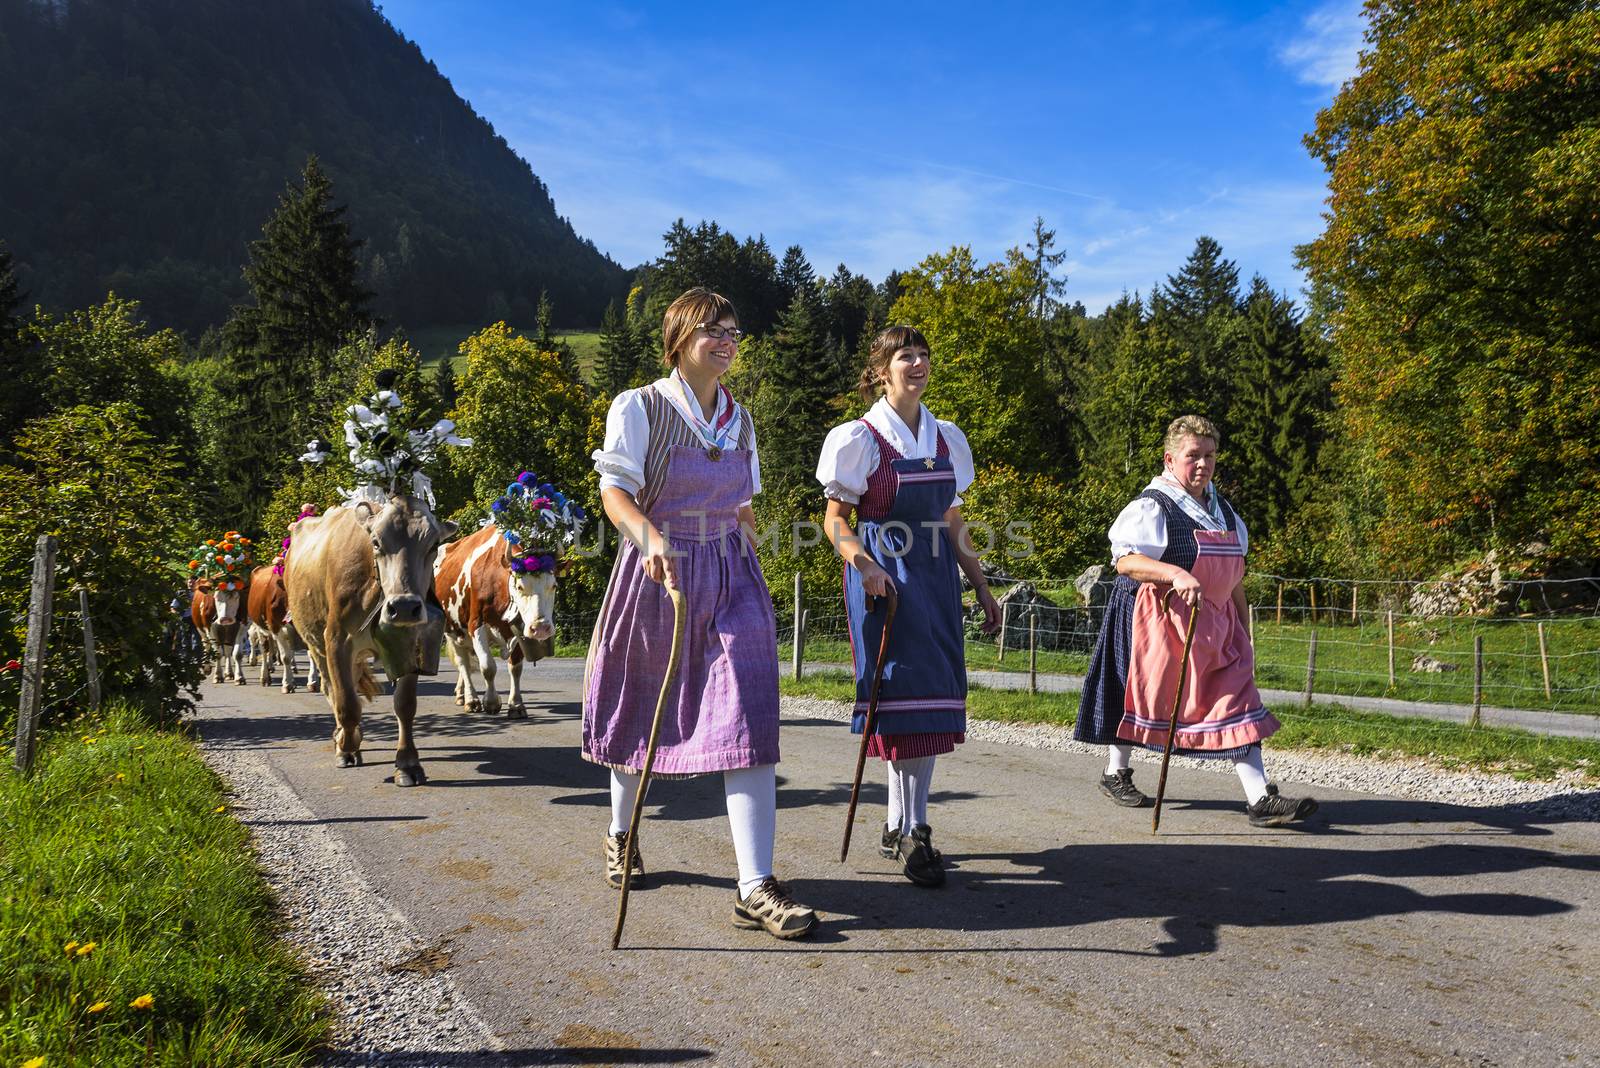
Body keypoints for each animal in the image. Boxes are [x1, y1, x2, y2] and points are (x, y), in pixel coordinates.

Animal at [184, 530, 256, 684]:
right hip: (200, 628)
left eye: (237, 597)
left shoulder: (242, 626)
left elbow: (236, 653)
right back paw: (207, 668)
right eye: (216, 597)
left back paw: (229, 673)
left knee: (227, 651)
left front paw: (239, 677)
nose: (225, 619)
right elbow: (217, 653)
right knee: (207, 645)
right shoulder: (210, 627)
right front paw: (217, 676)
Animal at [243, 562, 318, 697]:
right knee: (264, 649)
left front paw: (312, 682)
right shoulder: (276, 627)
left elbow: (311, 654)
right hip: (259, 625)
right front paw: (287, 684)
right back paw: (265, 677)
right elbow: (285, 657)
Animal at [283, 492, 451, 783]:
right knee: (331, 689)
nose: (404, 606)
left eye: (433, 545)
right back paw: (343, 737)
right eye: (376, 542)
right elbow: (347, 703)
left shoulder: (409, 641)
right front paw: (347, 747)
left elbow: (405, 705)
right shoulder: (337, 639)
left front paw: (407, 763)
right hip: (315, 644)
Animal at [435, 524, 560, 716]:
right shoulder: (475, 625)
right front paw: (491, 702)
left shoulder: (518, 629)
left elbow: (515, 668)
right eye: (519, 586)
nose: (540, 628)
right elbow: (488, 667)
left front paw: (516, 705)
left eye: (554, 585)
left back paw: (461, 694)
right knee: (463, 663)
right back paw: (471, 699)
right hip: (452, 629)